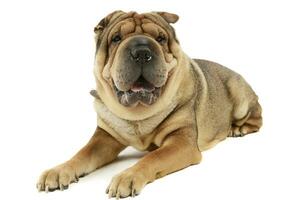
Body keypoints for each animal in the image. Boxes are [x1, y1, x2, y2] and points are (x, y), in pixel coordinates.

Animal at [37, 10, 264, 198]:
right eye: (116, 38)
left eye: (161, 39)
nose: (141, 52)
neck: (139, 114)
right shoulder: (105, 137)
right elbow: (82, 154)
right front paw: (57, 171)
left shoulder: (181, 142)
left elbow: (153, 157)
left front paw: (127, 177)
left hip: (240, 97)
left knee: (257, 117)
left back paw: (238, 128)